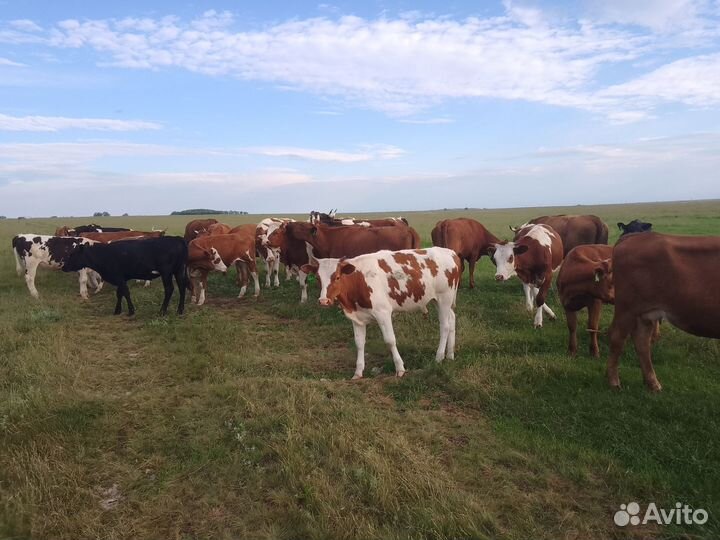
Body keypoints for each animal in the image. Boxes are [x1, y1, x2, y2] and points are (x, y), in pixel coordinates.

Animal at [305, 247, 461, 379]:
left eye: (337, 277)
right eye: (317, 278)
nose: (323, 301)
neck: (359, 279)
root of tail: (451, 252)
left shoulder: (383, 313)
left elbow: (390, 340)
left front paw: (400, 368)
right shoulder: (356, 318)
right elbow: (359, 343)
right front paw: (358, 372)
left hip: (445, 298)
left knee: (445, 326)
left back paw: (439, 357)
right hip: (439, 301)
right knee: (452, 319)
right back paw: (450, 355)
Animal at [606, 233, 720, 391]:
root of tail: (636, 236)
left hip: (645, 313)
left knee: (642, 342)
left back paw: (653, 383)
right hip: (627, 309)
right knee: (618, 339)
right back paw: (614, 381)